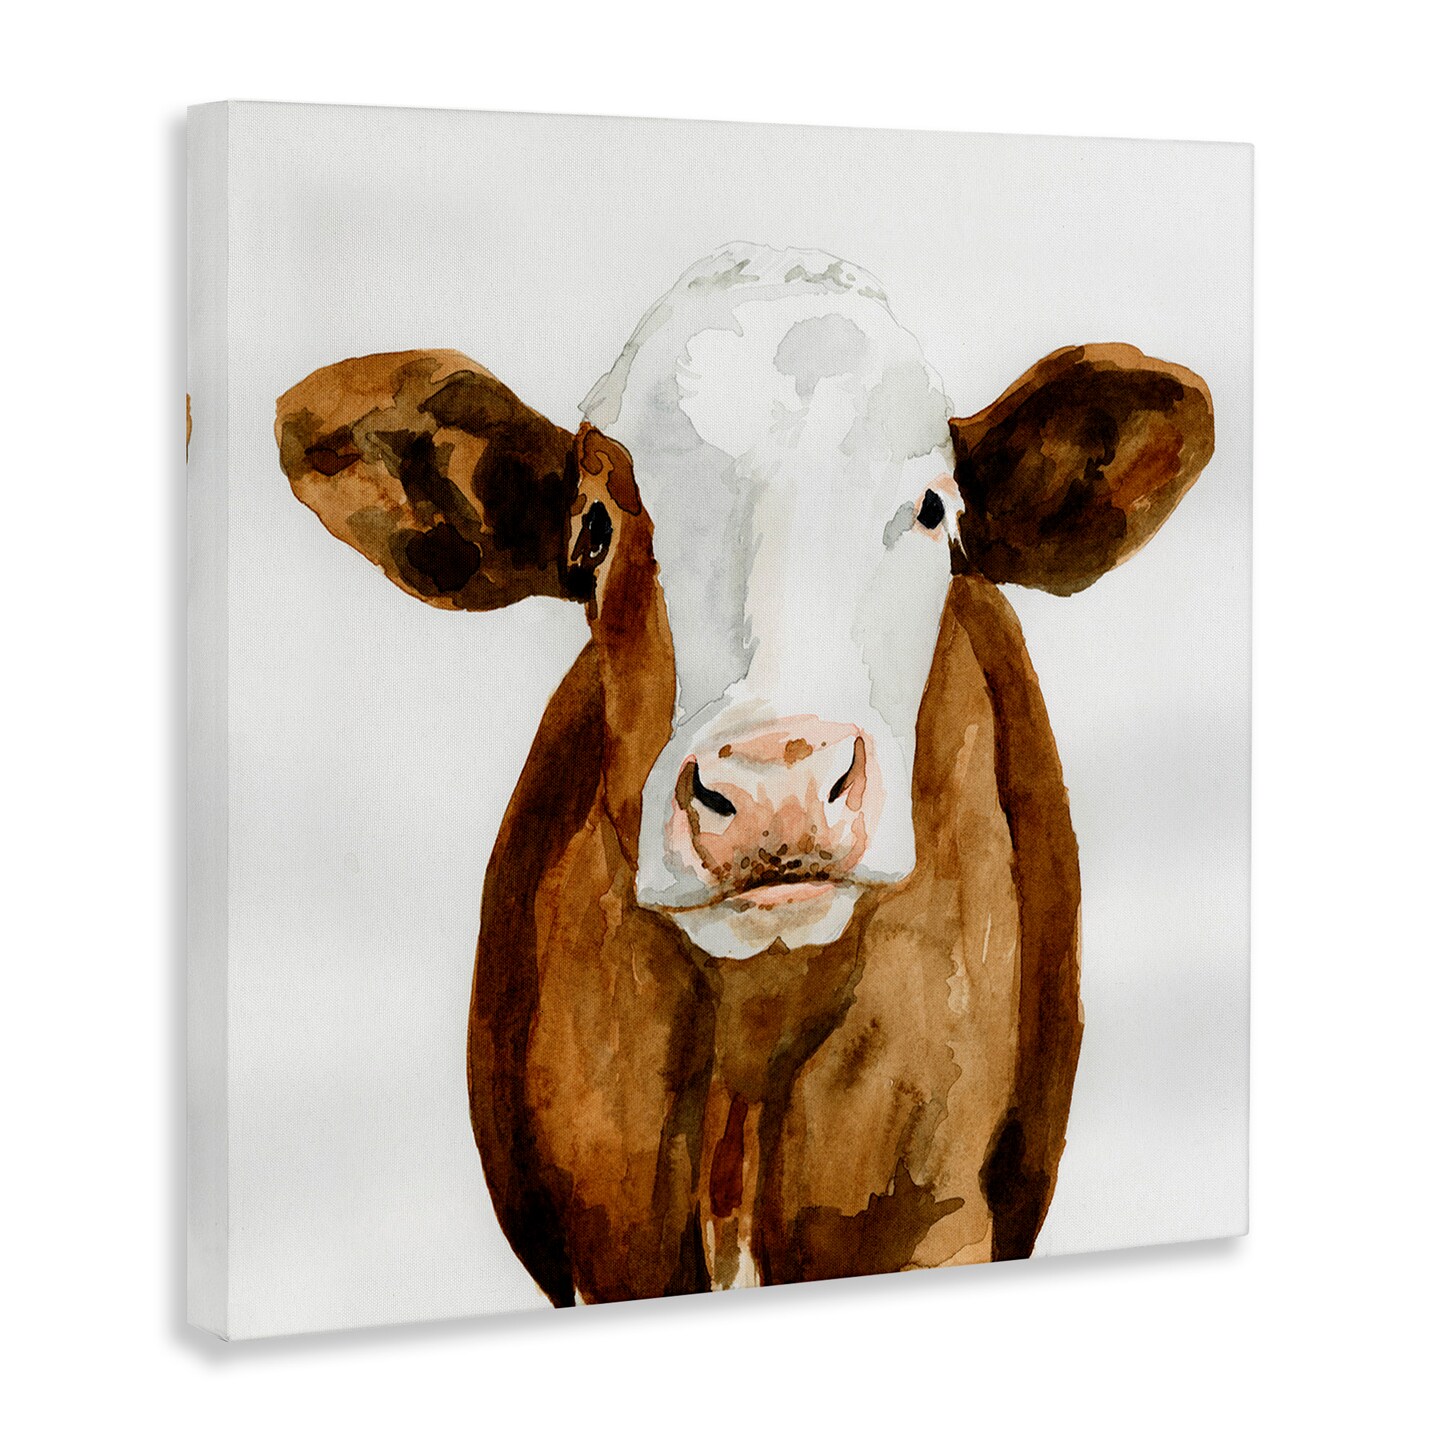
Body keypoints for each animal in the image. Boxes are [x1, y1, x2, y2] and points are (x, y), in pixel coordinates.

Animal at [276, 242, 1214, 1305]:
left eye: (934, 509)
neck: (750, 1041)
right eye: (592, 530)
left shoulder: (938, 1219)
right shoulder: (606, 1249)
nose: (777, 785)